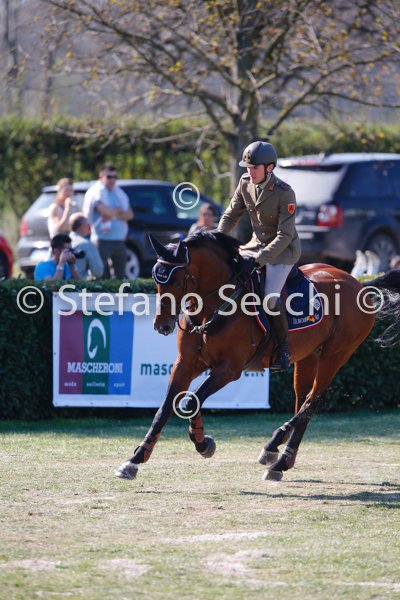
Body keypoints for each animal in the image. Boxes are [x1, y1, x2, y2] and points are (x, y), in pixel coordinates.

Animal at [115, 230, 398, 482]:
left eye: (175, 281)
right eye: (156, 280)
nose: (161, 326)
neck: (213, 306)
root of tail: (359, 284)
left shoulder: (229, 369)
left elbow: (191, 401)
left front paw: (203, 443)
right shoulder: (186, 364)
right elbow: (165, 409)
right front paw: (135, 460)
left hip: (335, 354)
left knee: (312, 402)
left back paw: (276, 449)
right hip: (308, 357)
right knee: (302, 400)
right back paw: (280, 457)